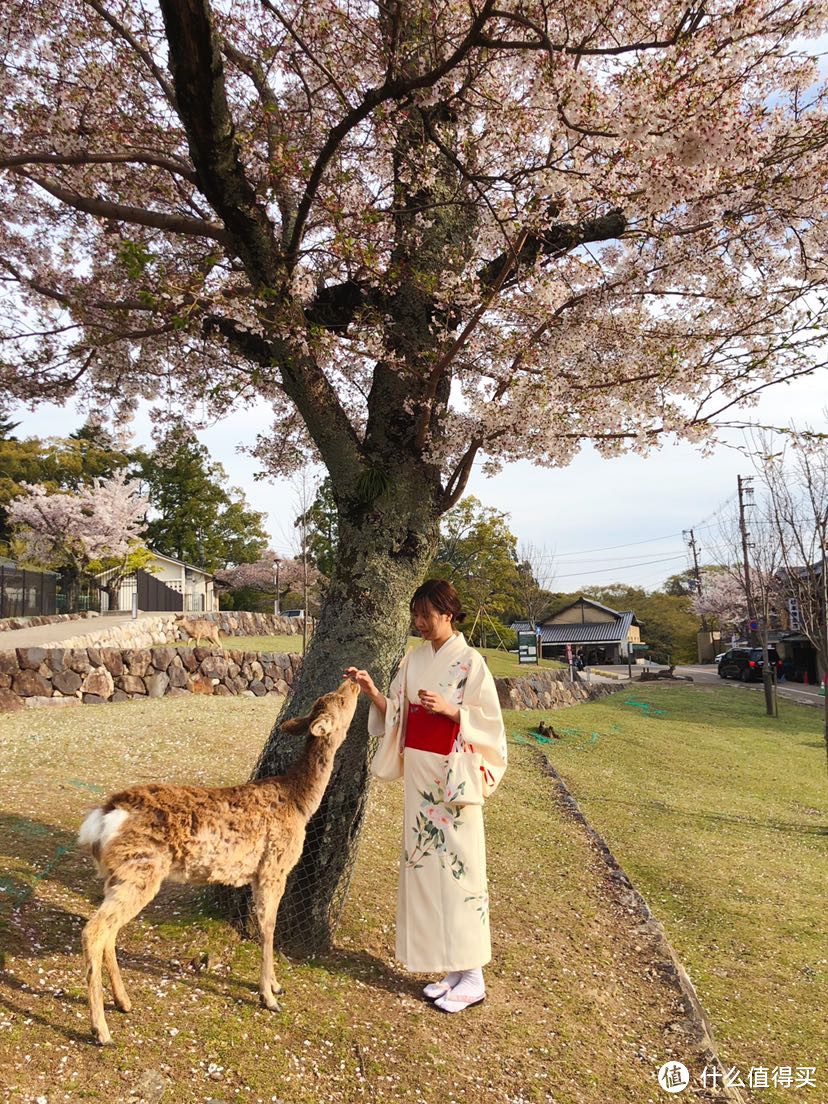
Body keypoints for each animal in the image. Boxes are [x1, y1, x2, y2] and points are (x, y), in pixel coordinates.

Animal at [77, 675, 359, 1046]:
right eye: (338, 700)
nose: (353, 679)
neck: (299, 804)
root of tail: (103, 818)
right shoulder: (273, 867)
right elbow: (268, 927)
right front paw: (269, 996)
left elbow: (264, 926)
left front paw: (275, 986)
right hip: (139, 870)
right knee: (94, 930)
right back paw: (101, 1029)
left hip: (120, 876)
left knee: (108, 931)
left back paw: (123, 1002)